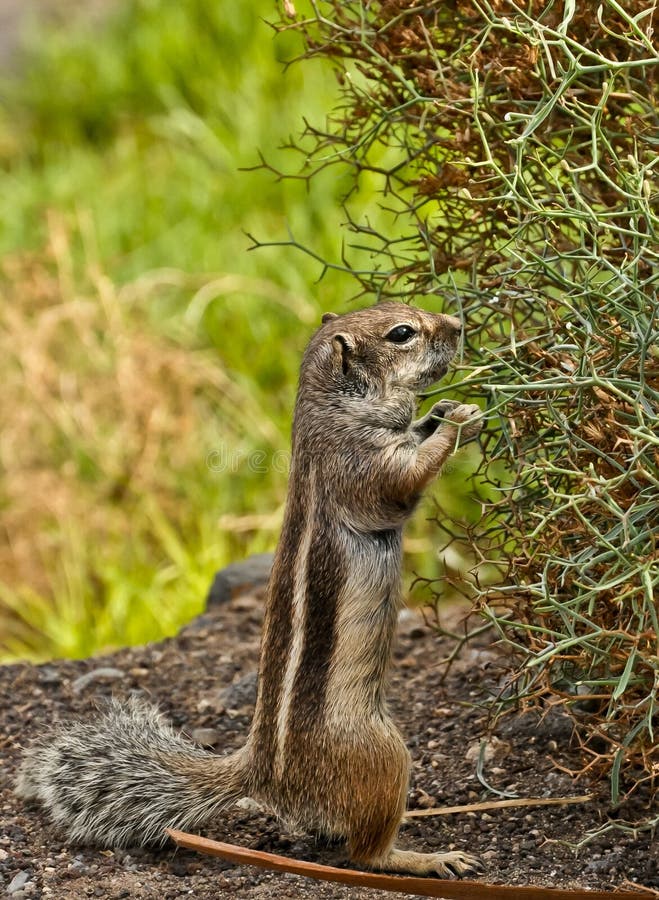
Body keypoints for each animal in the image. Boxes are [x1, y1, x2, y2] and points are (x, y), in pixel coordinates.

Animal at [16, 302, 484, 880]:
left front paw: (441, 410)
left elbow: (417, 431)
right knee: (365, 852)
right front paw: (460, 421)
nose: (458, 326)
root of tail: (257, 774)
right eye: (401, 333)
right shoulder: (359, 466)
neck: (334, 410)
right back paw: (427, 857)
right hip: (382, 754)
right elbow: (403, 482)